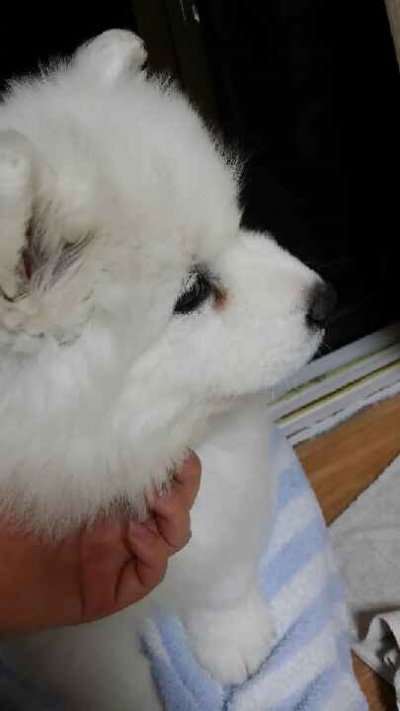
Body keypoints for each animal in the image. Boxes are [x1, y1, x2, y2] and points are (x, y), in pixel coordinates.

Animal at [0, 30, 335, 709]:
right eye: (192, 292)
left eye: (238, 224)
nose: (325, 300)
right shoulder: (66, 629)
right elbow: (110, 683)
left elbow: (223, 563)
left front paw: (237, 639)